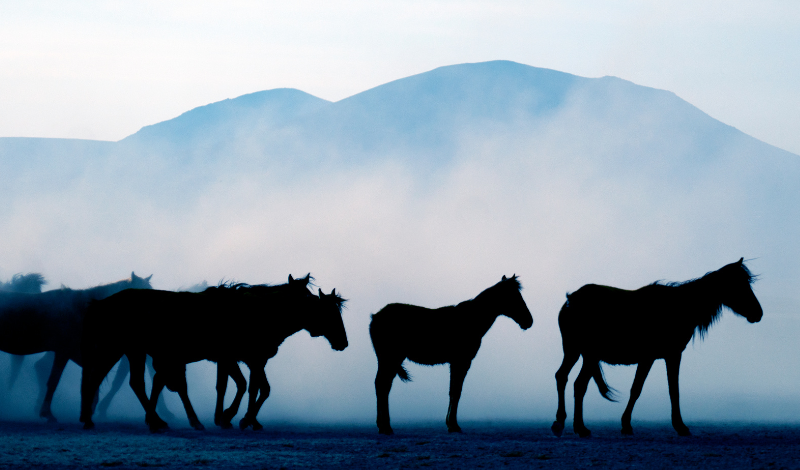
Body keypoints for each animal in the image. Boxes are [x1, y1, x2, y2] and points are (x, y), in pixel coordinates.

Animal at [79, 276, 348, 431]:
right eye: (329, 311)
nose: (343, 342)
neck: (262, 314)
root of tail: (102, 303)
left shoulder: (244, 358)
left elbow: (249, 387)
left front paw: (235, 418)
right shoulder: (241, 357)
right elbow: (245, 387)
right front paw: (235, 418)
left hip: (124, 349)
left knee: (109, 379)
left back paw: (94, 419)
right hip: (129, 349)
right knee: (131, 381)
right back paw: (157, 420)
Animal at [369, 275, 533, 435]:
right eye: (514, 296)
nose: (529, 321)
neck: (471, 320)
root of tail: (375, 317)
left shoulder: (456, 363)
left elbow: (453, 391)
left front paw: (450, 423)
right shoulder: (461, 362)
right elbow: (456, 391)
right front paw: (453, 425)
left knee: (382, 385)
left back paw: (382, 425)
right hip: (390, 358)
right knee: (382, 385)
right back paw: (385, 427)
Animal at [551, 258, 763, 438]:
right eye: (738, 285)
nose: (758, 313)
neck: (679, 307)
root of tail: (571, 300)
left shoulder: (659, 357)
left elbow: (651, 389)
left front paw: (628, 424)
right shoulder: (665, 356)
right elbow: (658, 390)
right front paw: (678, 426)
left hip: (577, 353)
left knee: (565, 378)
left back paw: (563, 423)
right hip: (589, 355)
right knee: (578, 384)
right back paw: (578, 427)